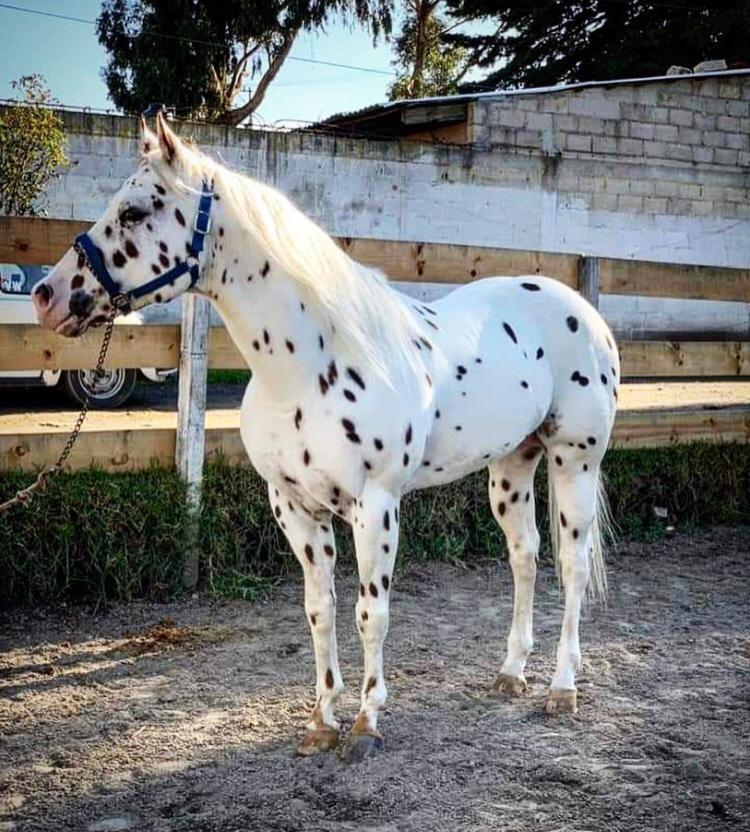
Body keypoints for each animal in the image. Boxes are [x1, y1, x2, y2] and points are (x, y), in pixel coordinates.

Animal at [33, 113, 618, 762]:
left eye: (135, 210)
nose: (47, 296)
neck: (310, 367)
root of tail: (584, 313)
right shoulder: (293, 507)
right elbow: (320, 610)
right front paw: (321, 720)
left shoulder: (376, 506)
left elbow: (371, 612)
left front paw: (366, 722)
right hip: (513, 467)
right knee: (524, 556)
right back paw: (512, 673)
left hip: (574, 463)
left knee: (571, 564)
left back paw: (561, 688)